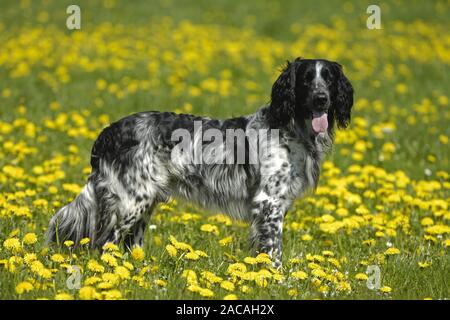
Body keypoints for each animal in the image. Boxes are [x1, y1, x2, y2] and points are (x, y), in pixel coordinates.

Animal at [46, 57, 356, 268]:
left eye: (329, 79)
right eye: (306, 79)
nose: (321, 98)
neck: (289, 128)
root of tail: (108, 133)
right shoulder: (269, 202)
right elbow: (273, 252)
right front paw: (276, 280)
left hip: (144, 203)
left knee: (129, 244)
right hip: (130, 202)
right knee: (103, 245)